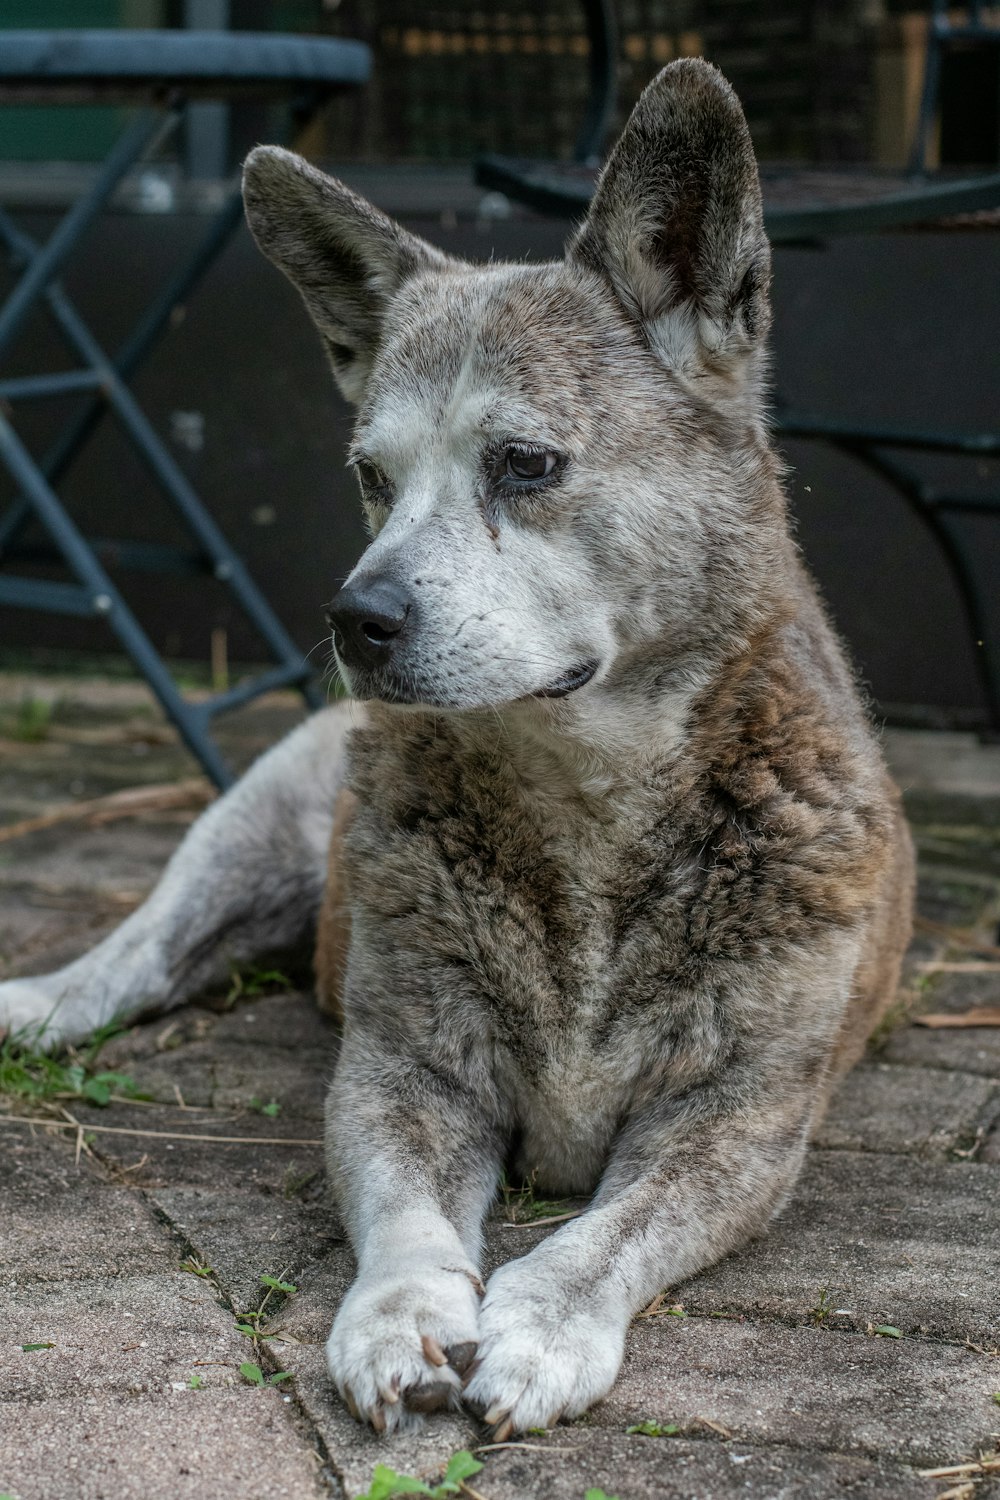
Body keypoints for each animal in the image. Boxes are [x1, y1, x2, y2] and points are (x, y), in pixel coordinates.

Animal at [0, 61, 917, 1440]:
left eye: (525, 464)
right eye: (371, 477)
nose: (353, 619)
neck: (584, 796)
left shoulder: (740, 1120)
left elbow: (608, 1233)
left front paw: (540, 1324)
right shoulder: (403, 1073)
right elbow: (406, 1222)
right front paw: (396, 1318)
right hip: (257, 815)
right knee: (147, 950)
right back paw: (45, 1002)